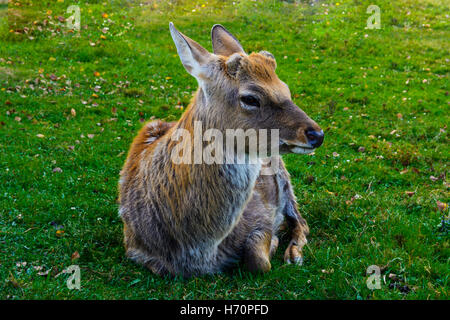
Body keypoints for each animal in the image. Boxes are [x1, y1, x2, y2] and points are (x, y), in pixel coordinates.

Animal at [118, 22, 324, 278]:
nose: (317, 134)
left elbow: (259, 260)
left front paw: (275, 243)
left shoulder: (262, 214)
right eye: (250, 98)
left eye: (286, 88)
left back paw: (294, 254)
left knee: (301, 220)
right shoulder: (134, 248)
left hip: (283, 175)